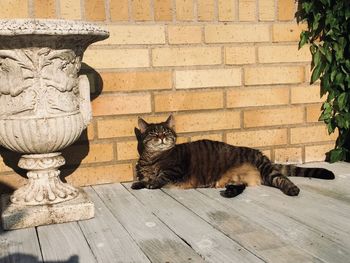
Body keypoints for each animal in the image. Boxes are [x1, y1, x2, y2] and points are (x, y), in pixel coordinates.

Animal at [131, 115, 334, 198]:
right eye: (153, 133)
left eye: (166, 132)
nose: (161, 137)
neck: (152, 158)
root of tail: (260, 153)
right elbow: (144, 178)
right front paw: (139, 183)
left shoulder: (175, 169)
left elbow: (160, 176)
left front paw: (152, 183)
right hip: (234, 177)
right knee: (241, 185)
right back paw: (230, 192)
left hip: (267, 170)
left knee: (282, 178)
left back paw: (292, 189)